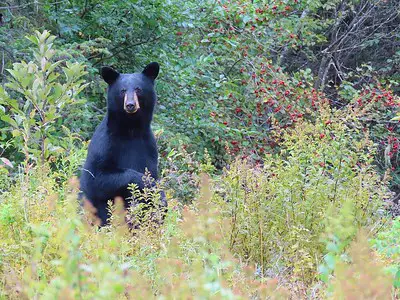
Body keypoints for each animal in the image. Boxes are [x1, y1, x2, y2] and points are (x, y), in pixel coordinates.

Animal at [79, 62, 166, 225]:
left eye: (138, 89)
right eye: (122, 90)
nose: (130, 105)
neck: (130, 130)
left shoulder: (148, 147)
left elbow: (151, 171)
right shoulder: (105, 143)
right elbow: (97, 178)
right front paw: (148, 184)